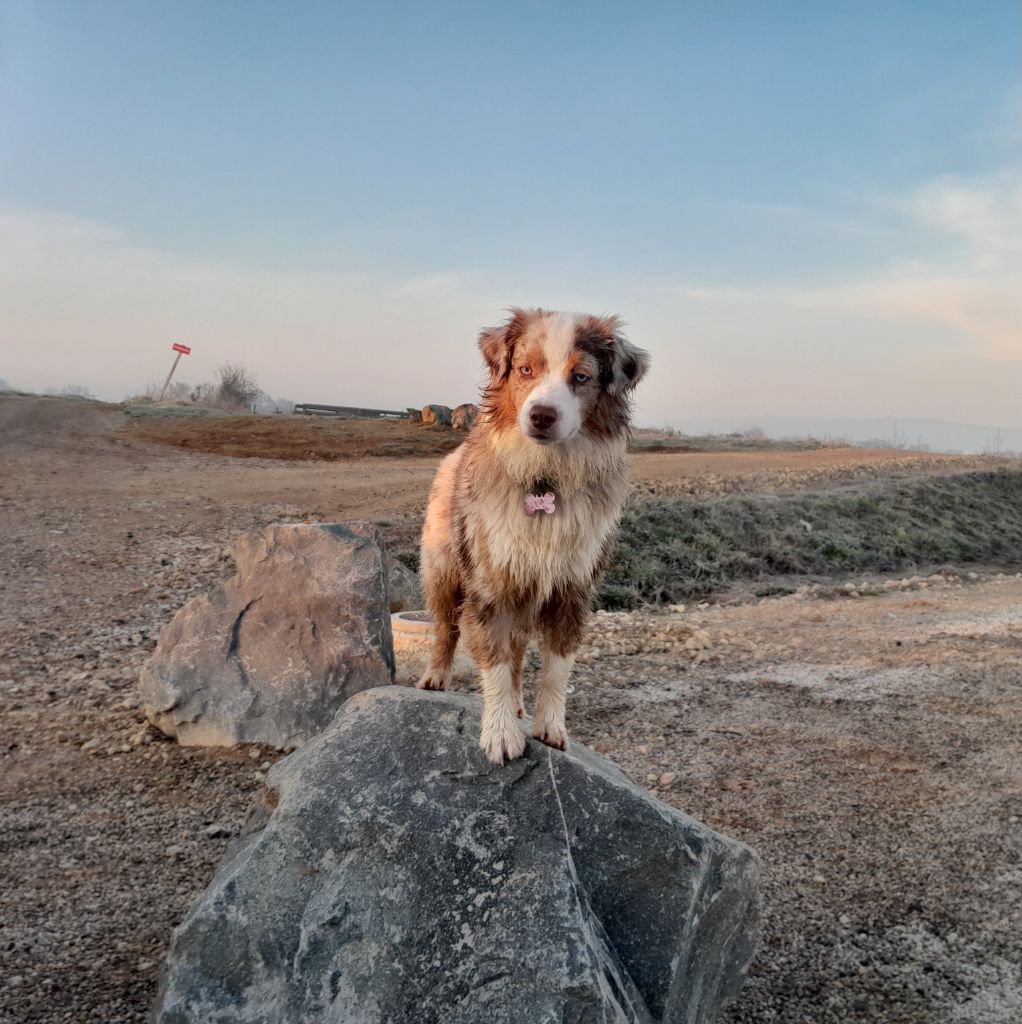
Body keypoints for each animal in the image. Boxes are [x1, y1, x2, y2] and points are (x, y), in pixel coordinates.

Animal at [415, 307, 647, 765]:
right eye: (526, 369)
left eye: (581, 376)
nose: (541, 415)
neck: (545, 478)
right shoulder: (490, 585)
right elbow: (495, 664)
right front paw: (501, 732)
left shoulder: (572, 588)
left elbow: (557, 667)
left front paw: (551, 728)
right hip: (443, 569)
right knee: (447, 629)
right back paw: (436, 676)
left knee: (519, 652)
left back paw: (520, 703)